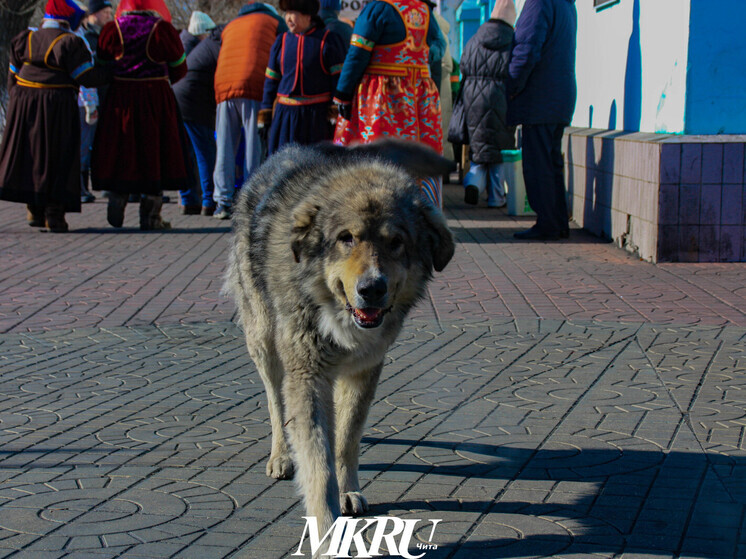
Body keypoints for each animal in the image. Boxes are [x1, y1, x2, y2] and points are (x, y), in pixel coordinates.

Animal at [224, 140, 454, 532]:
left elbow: (347, 438)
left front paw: (347, 489)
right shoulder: (308, 375)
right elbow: (318, 462)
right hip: (264, 341)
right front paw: (325, 523)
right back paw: (281, 454)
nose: (372, 289)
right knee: (274, 400)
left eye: (396, 242)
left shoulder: (364, 371)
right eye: (346, 239)